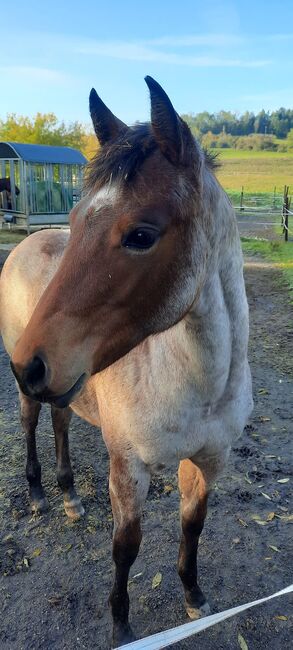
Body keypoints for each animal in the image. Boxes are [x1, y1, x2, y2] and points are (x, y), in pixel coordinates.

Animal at [0, 76, 251, 644]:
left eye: (140, 235)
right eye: (75, 218)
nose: (30, 364)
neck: (201, 387)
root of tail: (26, 244)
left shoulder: (209, 460)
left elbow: (192, 525)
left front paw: (194, 595)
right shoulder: (128, 465)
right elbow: (125, 547)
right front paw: (121, 625)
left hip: (69, 386)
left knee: (61, 422)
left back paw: (70, 495)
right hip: (41, 390)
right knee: (31, 423)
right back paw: (40, 493)